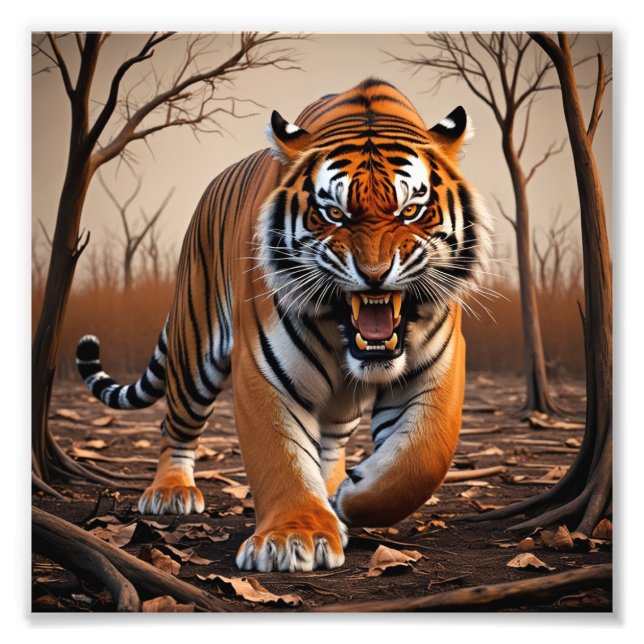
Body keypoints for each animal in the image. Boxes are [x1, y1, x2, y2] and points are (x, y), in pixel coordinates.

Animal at [76, 78, 492, 572]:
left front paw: (349, 498)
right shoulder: (263, 366)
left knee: (331, 442)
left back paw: (332, 493)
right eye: (334, 214)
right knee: (174, 424)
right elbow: (281, 454)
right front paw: (295, 538)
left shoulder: (440, 364)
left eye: (410, 211)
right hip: (194, 351)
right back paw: (171, 492)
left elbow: (421, 460)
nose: (374, 273)